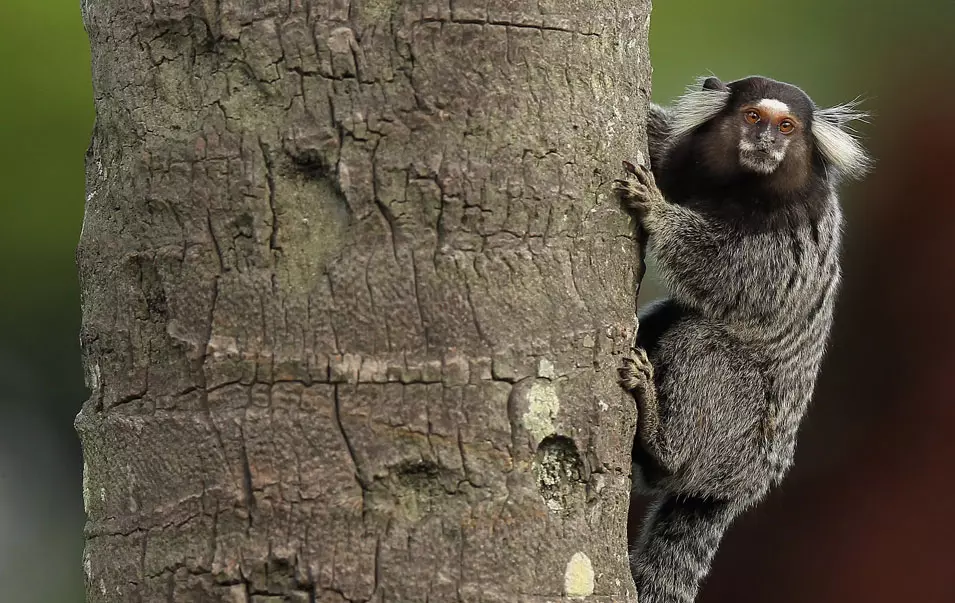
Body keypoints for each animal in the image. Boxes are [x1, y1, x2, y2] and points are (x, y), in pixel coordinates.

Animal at [616, 75, 872, 603]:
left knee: (702, 342)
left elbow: (729, 273)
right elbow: (662, 141)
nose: (766, 141)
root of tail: (740, 490)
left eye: (787, 126)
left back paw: (658, 434)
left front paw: (658, 213)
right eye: (753, 116)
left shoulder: (789, 236)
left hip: (738, 438)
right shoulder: (681, 158)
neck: (739, 189)